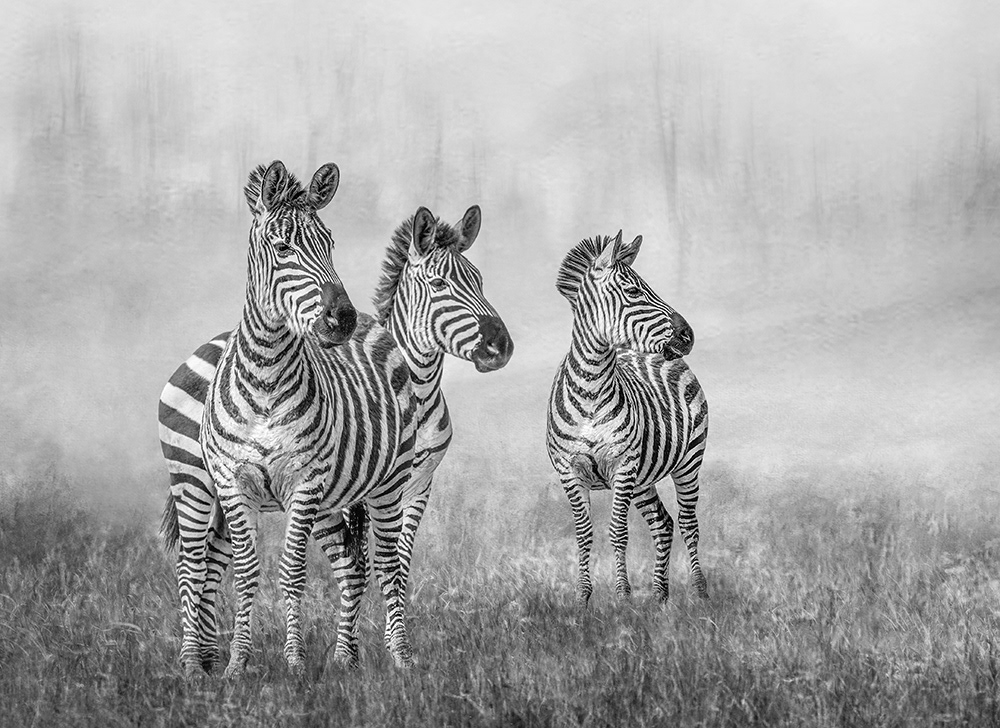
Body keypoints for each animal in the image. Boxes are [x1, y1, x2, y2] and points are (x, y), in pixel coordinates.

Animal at [193, 160, 417, 677]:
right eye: (283, 248)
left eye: (329, 244)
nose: (343, 318)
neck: (264, 379)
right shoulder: (233, 483)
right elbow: (246, 573)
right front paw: (236, 663)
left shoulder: (305, 481)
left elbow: (292, 571)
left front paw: (294, 662)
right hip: (325, 500)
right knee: (352, 568)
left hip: (389, 483)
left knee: (388, 565)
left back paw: (399, 657)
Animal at [545, 230, 709, 607]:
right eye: (634, 291)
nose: (687, 336)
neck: (590, 391)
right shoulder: (569, 471)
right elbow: (584, 534)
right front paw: (583, 600)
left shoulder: (622, 465)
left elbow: (618, 532)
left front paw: (622, 597)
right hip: (644, 478)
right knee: (663, 524)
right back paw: (660, 597)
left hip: (688, 462)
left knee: (689, 524)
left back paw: (700, 593)